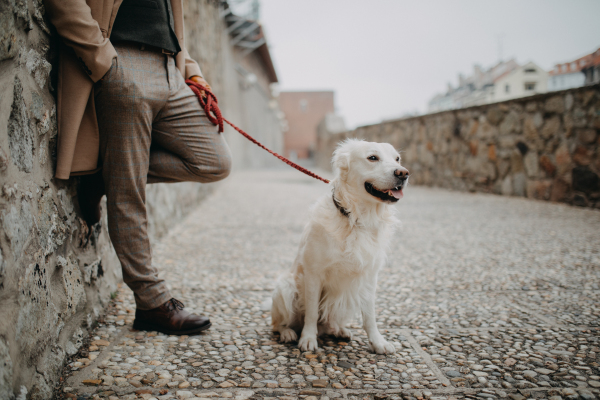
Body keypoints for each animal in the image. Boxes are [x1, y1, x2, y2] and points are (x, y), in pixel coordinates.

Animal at [270, 139, 408, 354]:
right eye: (373, 158)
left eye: (397, 159)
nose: (403, 173)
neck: (356, 218)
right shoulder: (313, 274)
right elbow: (311, 312)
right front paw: (308, 339)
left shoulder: (369, 277)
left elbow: (370, 316)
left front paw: (378, 342)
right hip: (285, 288)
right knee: (278, 324)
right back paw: (288, 333)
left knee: (328, 323)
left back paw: (339, 330)